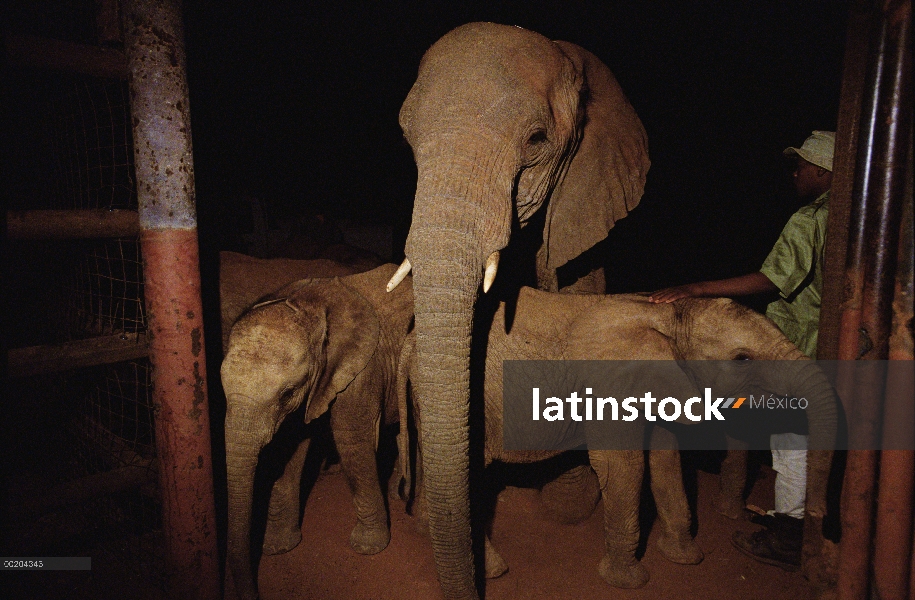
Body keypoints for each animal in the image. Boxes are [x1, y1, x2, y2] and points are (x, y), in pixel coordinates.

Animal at [225, 264, 416, 600]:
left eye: (287, 393)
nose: (253, 592)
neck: (310, 304)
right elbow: (289, 445)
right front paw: (279, 547)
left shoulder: (361, 370)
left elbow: (351, 437)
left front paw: (369, 548)